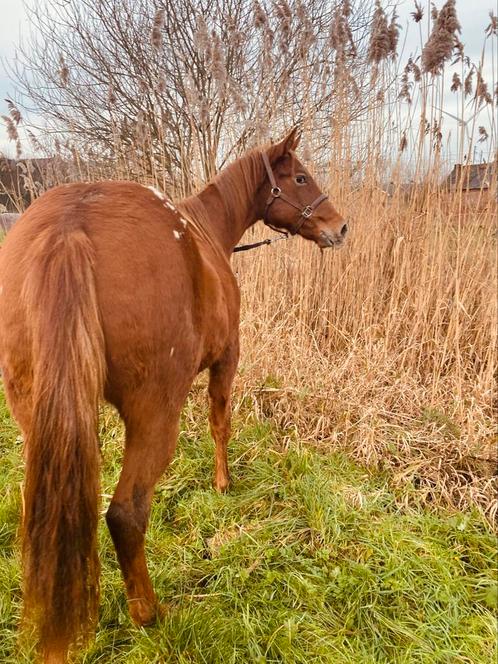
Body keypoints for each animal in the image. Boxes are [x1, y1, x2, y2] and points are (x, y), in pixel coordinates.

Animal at [0, 127, 346, 660]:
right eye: (301, 177)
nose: (340, 226)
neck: (205, 232)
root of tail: (68, 229)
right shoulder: (228, 358)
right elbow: (220, 423)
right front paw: (223, 483)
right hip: (155, 415)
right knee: (126, 514)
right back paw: (149, 613)